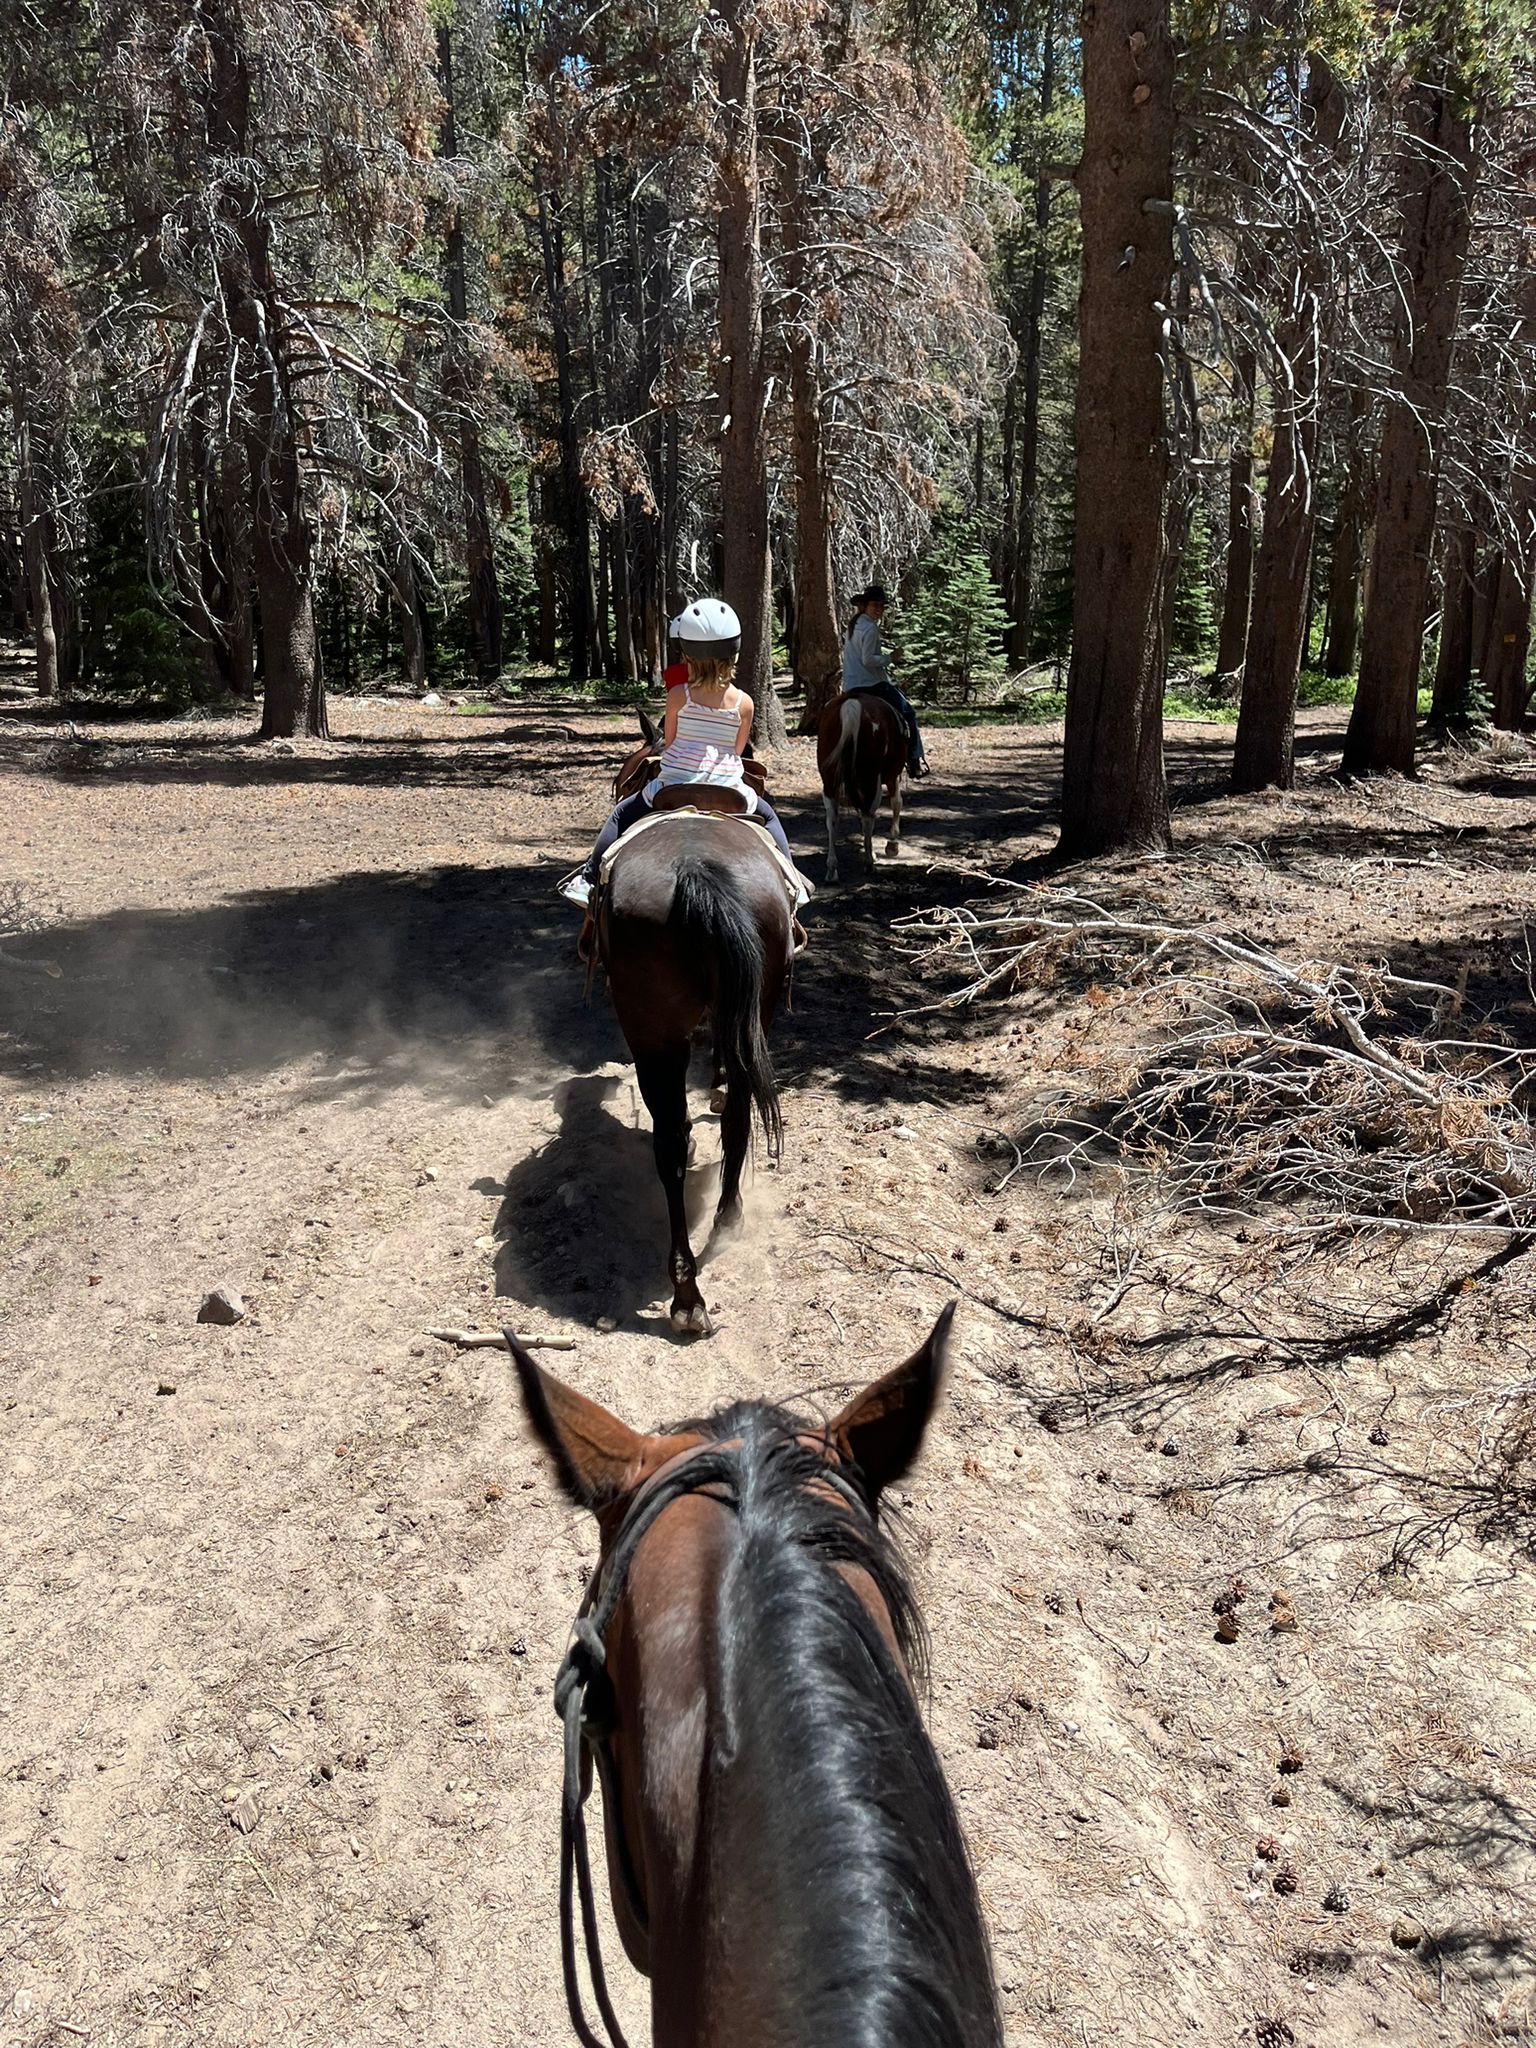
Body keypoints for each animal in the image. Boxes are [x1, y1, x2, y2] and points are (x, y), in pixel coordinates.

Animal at [598, 806, 798, 1335]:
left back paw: (688, 1291)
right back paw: (722, 1229)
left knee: (674, 1138)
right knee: (730, 1120)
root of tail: (695, 869)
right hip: (746, 1012)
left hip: (655, 1033)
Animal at [823, 688, 909, 880]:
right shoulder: (892, 776)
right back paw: (869, 863)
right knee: (869, 815)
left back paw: (832, 870)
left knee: (832, 818)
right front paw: (892, 843)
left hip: (829, 780)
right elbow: (897, 802)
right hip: (872, 779)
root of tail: (851, 705)